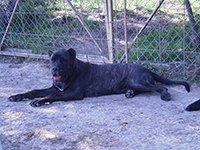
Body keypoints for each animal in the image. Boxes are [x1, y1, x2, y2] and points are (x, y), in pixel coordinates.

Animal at [8, 48, 191, 106]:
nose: (54, 69)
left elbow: (52, 96)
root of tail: (146, 67)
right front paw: (17, 96)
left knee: (160, 87)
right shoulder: (55, 87)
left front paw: (39, 101)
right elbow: (34, 90)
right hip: (133, 84)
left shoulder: (73, 93)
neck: (71, 72)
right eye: (52, 59)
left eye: (63, 60)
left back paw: (165, 95)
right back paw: (129, 93)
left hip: (137, 81)